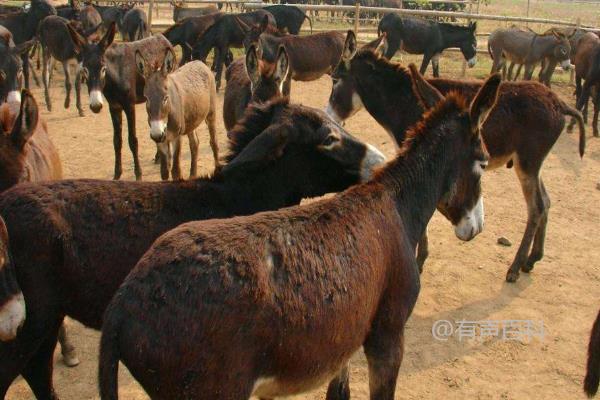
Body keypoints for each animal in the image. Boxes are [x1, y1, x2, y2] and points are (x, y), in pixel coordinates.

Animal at [98, 69, 500, 400]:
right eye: (483, 163)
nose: (475, 227)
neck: (396, 200)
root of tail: (121, 307)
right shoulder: (387, 337)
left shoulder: (346, 337)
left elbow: (339, 392)